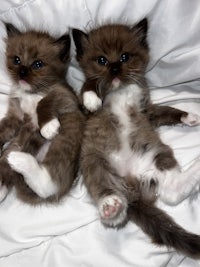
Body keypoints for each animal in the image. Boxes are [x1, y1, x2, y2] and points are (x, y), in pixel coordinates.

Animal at [0, 24, 84, 205]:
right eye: (16, 60)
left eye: (38, 64)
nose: (22, 72)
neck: (30, 92)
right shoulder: (15, 117)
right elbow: (2, 129)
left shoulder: (65, 95)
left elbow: (43, 101)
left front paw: (48, 127)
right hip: (17, 144)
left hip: (68, 129)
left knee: (49, 184)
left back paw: (20, 162)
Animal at [72, 19, 200, 260]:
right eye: (102, 60)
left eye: (124, 57)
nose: (114, 68)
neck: (120, 89)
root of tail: (131, 184)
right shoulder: (83, 109)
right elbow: (89, 83)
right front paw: (93, 98)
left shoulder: (146, 111)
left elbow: (165, 111)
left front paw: (188, 116)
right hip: (94, 162)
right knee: (106, 192)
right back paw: (111, 206)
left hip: (158, 151)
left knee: (171, 192)